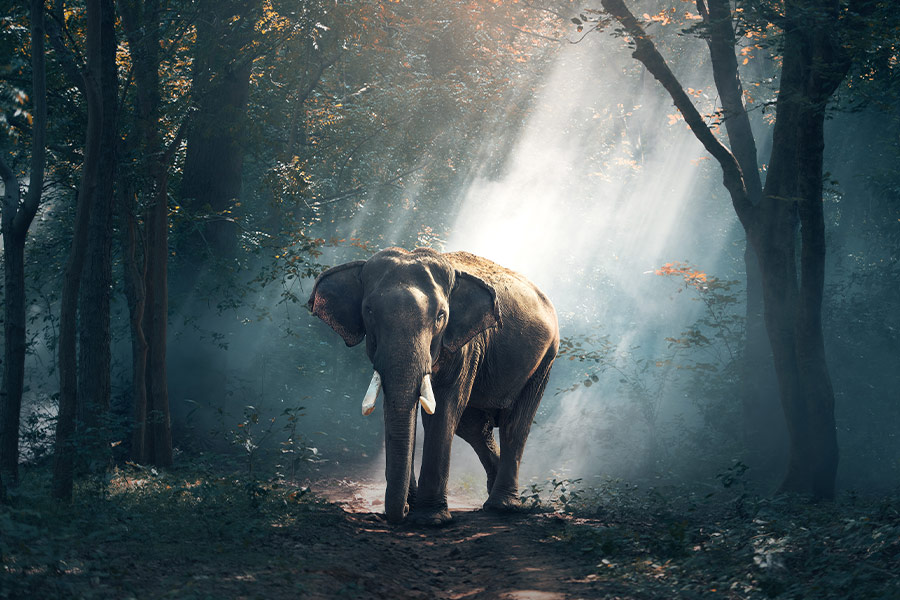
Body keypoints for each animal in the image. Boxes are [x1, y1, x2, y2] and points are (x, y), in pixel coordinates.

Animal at [307, 247, 559, 525]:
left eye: (440, 316)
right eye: (369, 311)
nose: (402, 512)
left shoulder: (466, 346)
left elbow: (444, 409)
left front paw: (430, 519)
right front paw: (413, 507)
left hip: (545, 359)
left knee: (515, 423)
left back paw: (502, 506)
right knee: (474, 427)